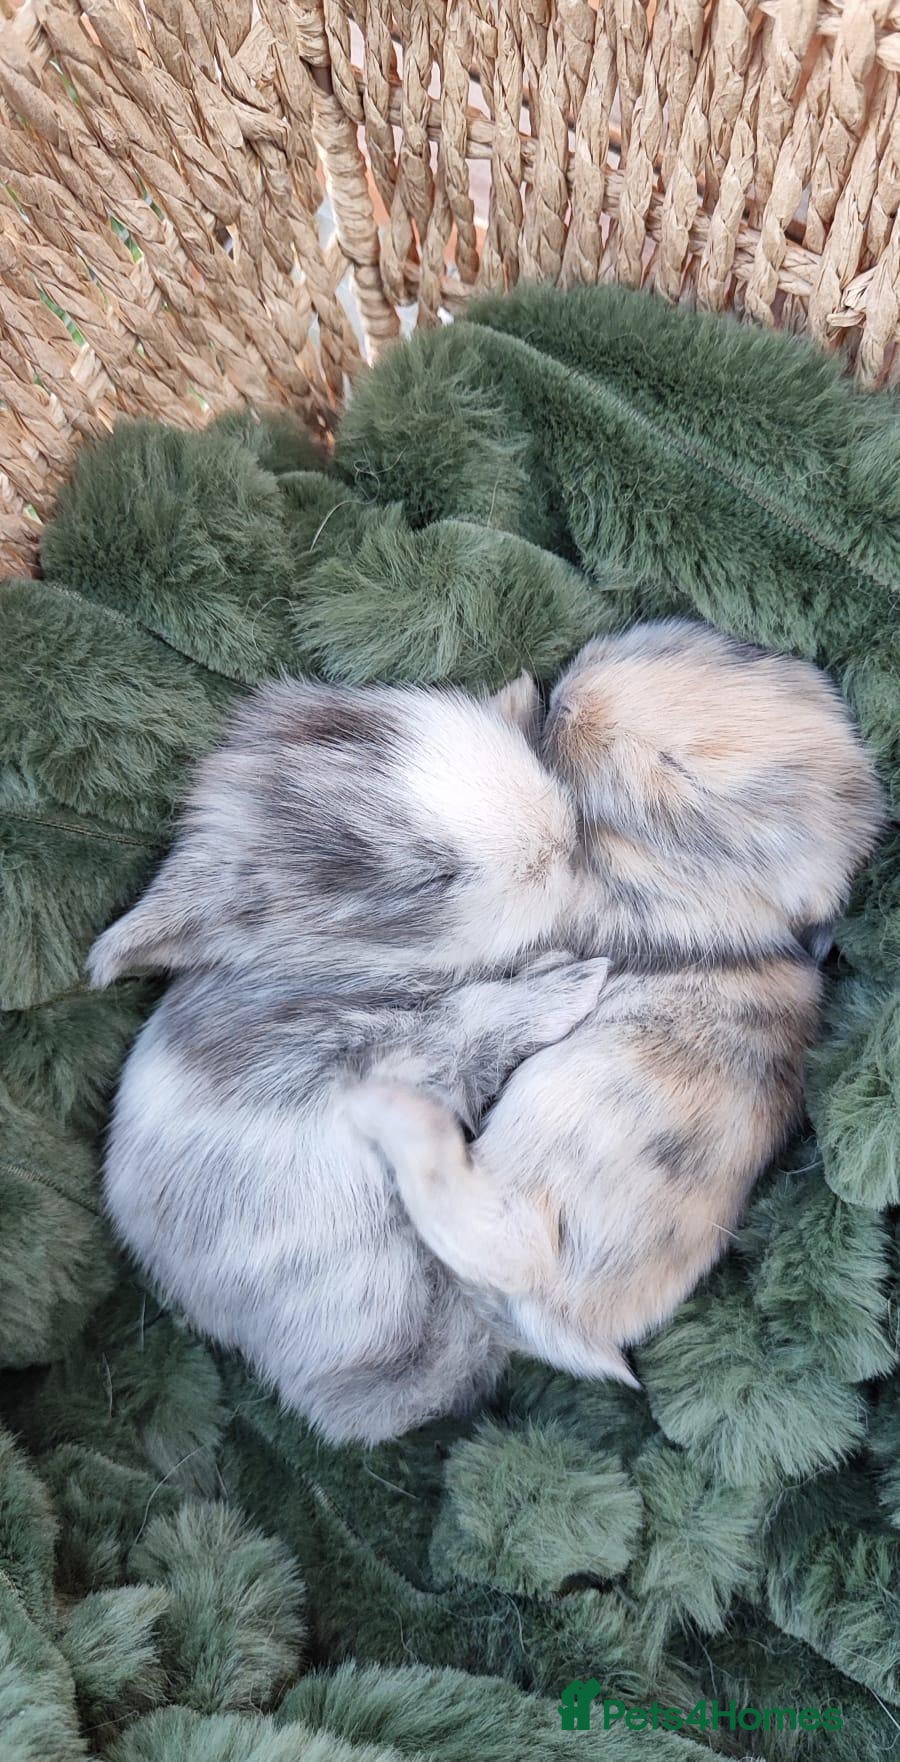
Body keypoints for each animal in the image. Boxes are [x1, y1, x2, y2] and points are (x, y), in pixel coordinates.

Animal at [88, 674, 609, 1443]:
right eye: (430, 876)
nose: (563, 841)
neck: (338, 972)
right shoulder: (386, 1058)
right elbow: (474, 1023)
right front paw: (572, 983)